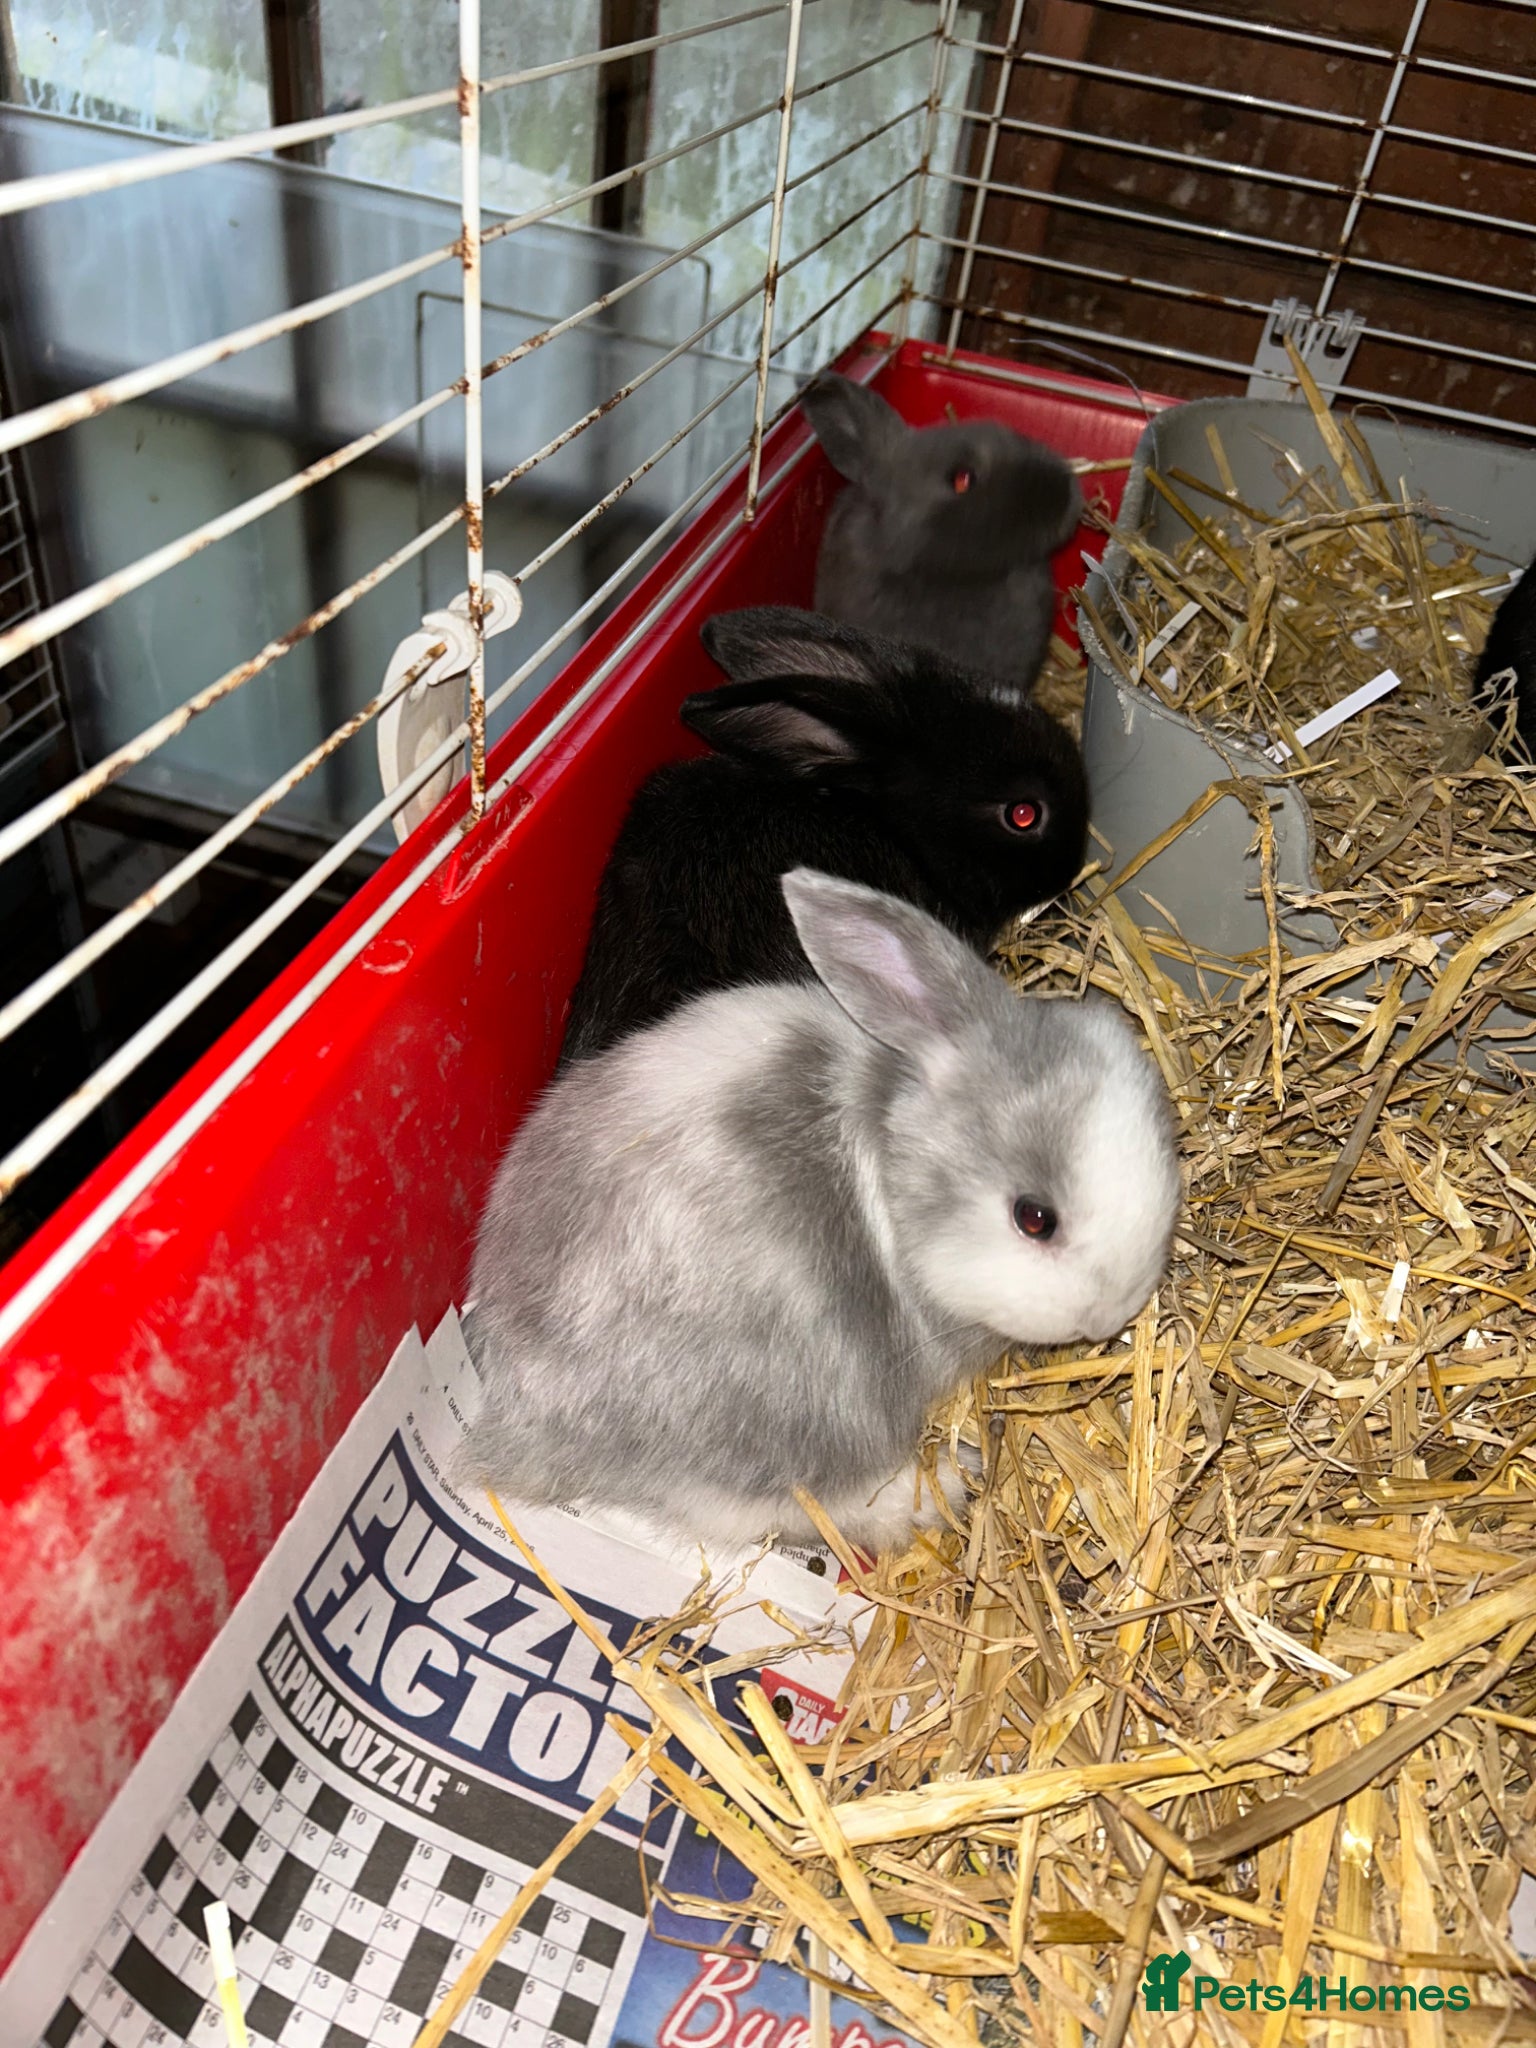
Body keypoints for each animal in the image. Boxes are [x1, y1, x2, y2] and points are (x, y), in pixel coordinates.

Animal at [460, 867, 1181, 1553]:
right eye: (1034, 1218)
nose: (1115, 1312)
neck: (892, 1169)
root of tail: (519, 1422)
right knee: (780, 1508)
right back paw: (948, 1484)